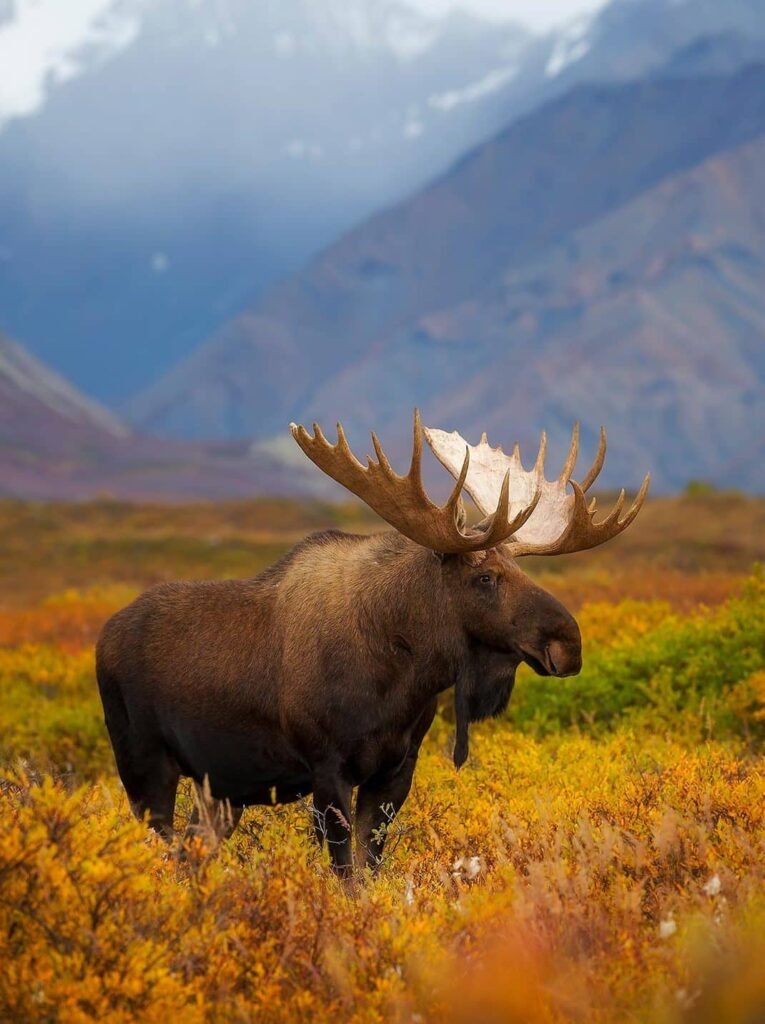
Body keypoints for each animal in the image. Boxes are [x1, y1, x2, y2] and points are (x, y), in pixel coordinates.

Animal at [96, 412, 649, 876]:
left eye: (519, 569)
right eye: (486, 577)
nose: (568, 642)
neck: (401, 675)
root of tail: (103, 637)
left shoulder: (396, 771)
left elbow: (370, 867)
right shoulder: (327, 768)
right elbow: (346, 874)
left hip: (220, 788)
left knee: (189, 855)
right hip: (143, 764)